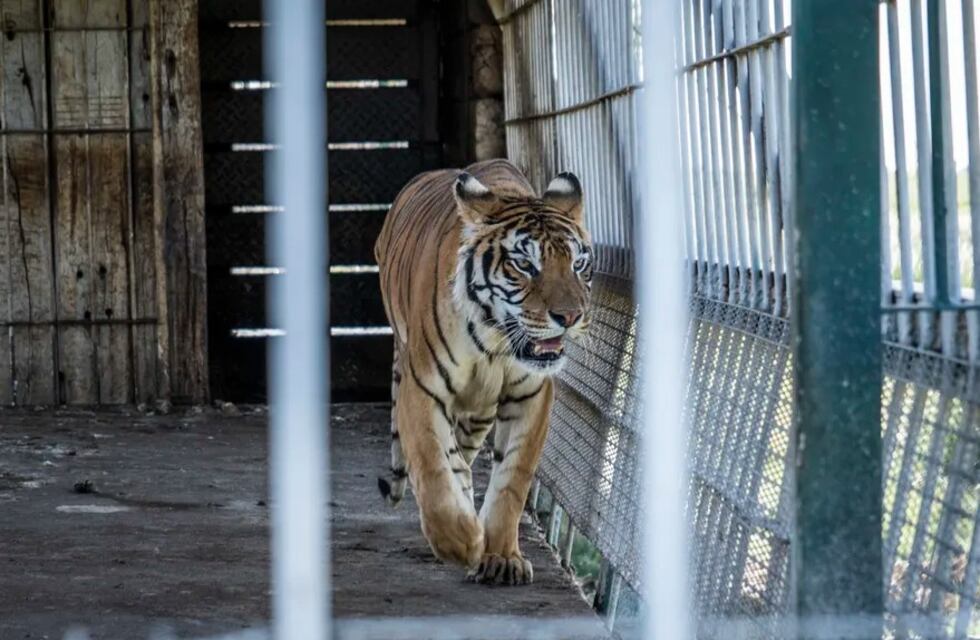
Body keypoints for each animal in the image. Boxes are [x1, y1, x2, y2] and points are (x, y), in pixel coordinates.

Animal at [374, 158, 593, 586]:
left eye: (577, 264)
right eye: (524, 264)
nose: (570, 316)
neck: (495, 340)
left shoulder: (531, 395)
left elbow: (512, 480)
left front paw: (501, 556)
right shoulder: (422, 389)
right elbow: (431, 464)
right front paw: (461, 542)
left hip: (479, 412)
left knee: (463, 450)